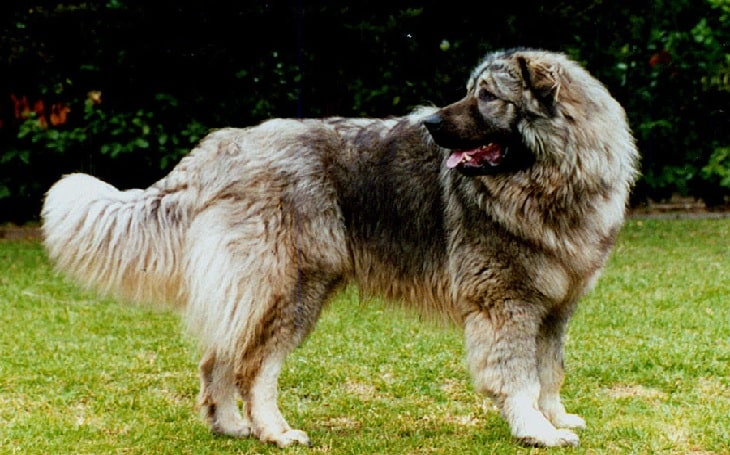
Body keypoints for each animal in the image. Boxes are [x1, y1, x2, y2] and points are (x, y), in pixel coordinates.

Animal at [39, 50, 636, 448]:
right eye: (472, 93)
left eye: (488, 98)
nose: (430, 123)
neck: (552, 180)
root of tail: (223, 147)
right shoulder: (506, 305)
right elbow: (518, 377)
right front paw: (536, 429)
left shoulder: (555, 309)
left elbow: (550, 371)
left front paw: (555, 417)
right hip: (290, 291)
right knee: (256, 368)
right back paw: (274, 431)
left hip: (260, 291)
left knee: (221, 355)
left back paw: (230, 425)